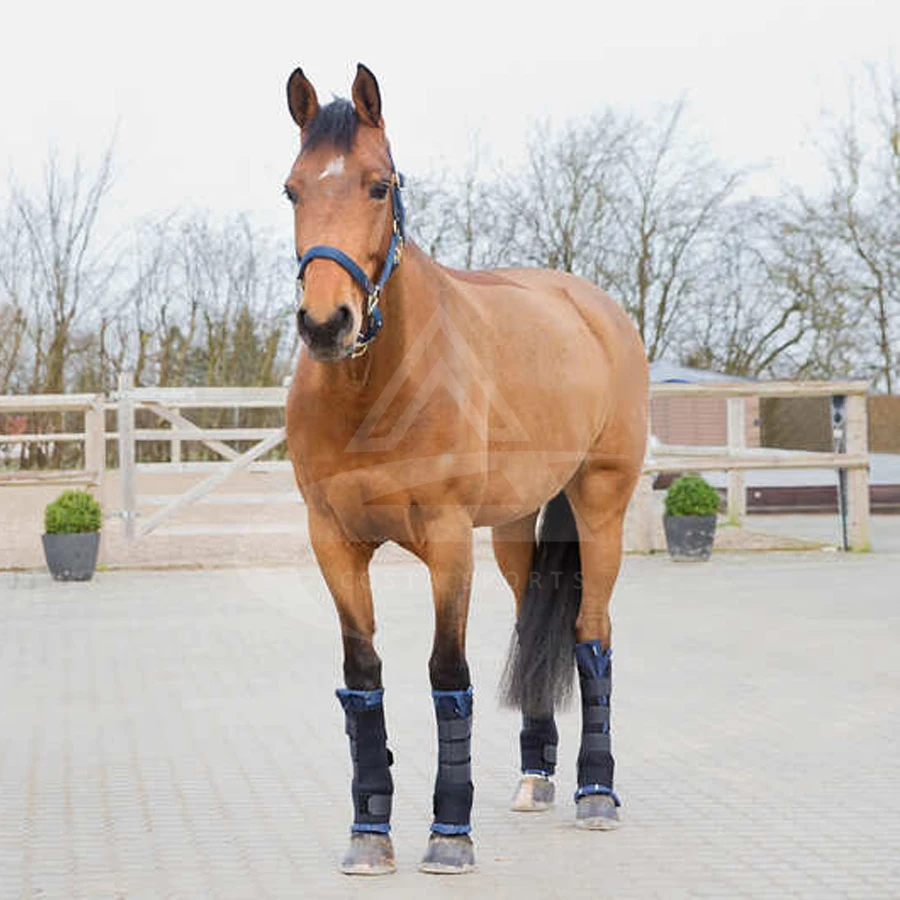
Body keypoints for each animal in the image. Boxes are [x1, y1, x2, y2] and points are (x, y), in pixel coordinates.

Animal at [283, 63, 648, 875]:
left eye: (379, 185)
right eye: (291, 190)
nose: (326, 324)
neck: (375, 388)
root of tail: (595, 307)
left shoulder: (448, 541)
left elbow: (448, 675)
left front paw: (449, 833)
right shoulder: (333, 541)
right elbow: (363, 677)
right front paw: (369, 832)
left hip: (600, 508)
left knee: (593, 633)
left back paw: (596, 793)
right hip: (515, 525)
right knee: (532, 619)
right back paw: (537, 776)